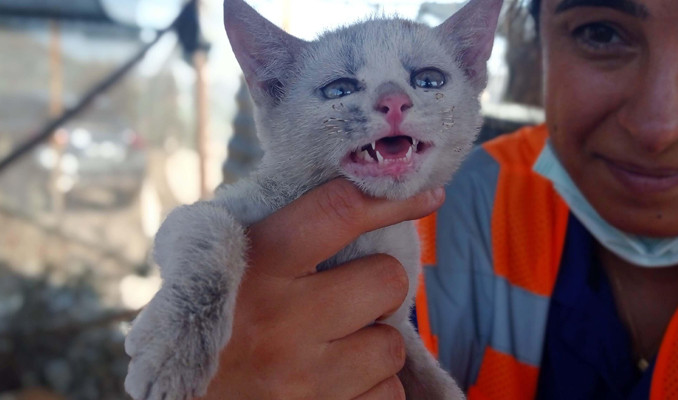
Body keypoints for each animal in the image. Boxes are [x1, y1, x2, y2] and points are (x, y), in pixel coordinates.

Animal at [125, 0, 502, 398]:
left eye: (429, 80)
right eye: (339, 90)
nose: (395, 101)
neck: (362, 238)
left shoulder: (398, 327)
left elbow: (436, 382)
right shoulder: (203, 212)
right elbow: (211, 226)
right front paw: (174, 352)